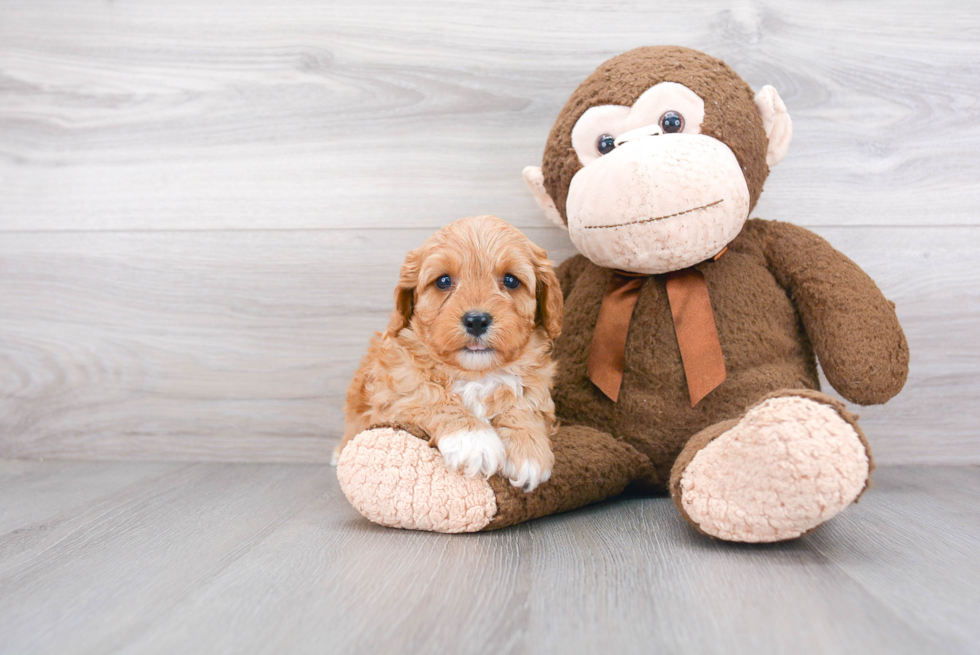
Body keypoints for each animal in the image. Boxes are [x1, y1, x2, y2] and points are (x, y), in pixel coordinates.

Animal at [340, 215, 564, 492]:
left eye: (511, 280)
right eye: (443, 281)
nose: (476, 320)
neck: (476, 373)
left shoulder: (537, 384)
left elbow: (524, 403)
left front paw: (528, 448)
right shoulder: (395, 387)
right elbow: (430, 395)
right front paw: (473, 438)